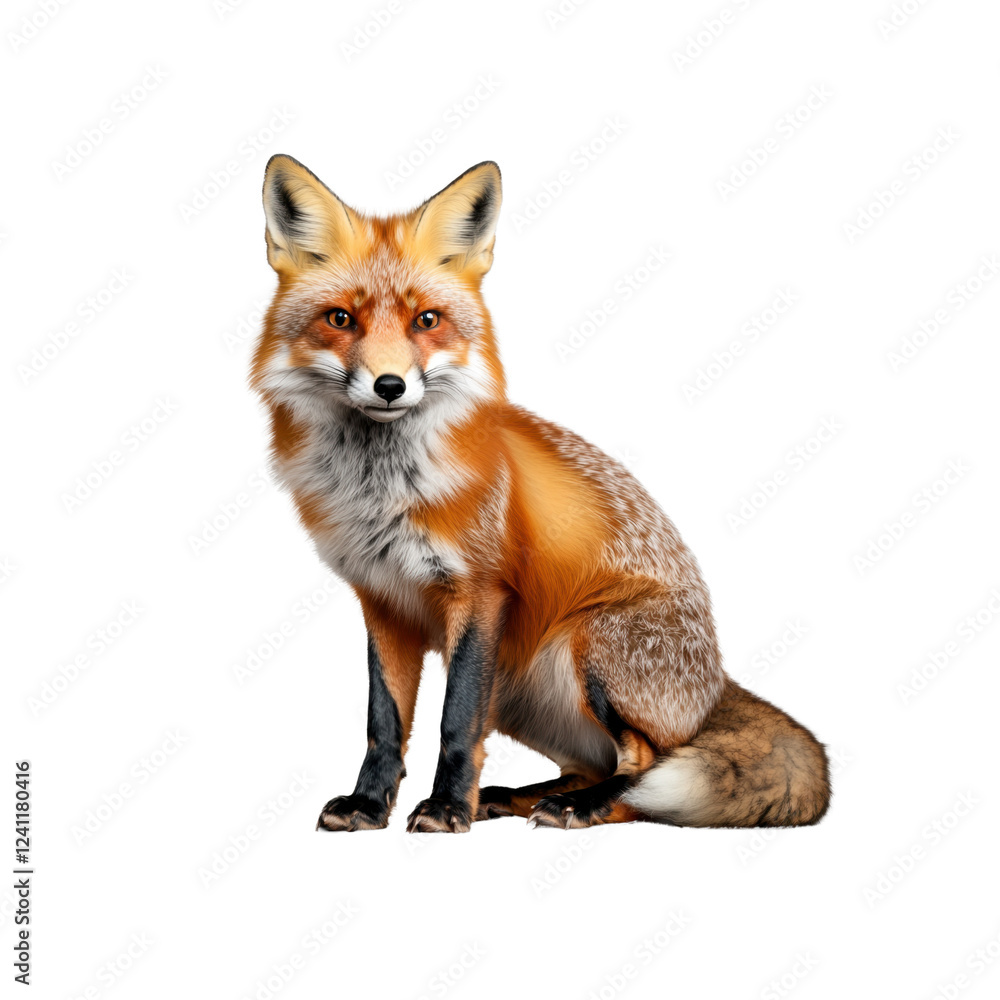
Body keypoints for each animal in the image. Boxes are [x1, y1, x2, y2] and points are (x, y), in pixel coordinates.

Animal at [250, 154, 831, 833]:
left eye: (427, 321)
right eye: (341, 319)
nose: (390, 385)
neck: (380, 489)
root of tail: (716, 686)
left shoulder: (479, 594)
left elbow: (455, 723)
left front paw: (446, 810)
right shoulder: (383, 600)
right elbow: (384, 722)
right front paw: (369, 805)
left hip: (588, 647)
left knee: (642, 768)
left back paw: (582, 805)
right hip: (520, 689)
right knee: (589, 764)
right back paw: (509, 797)